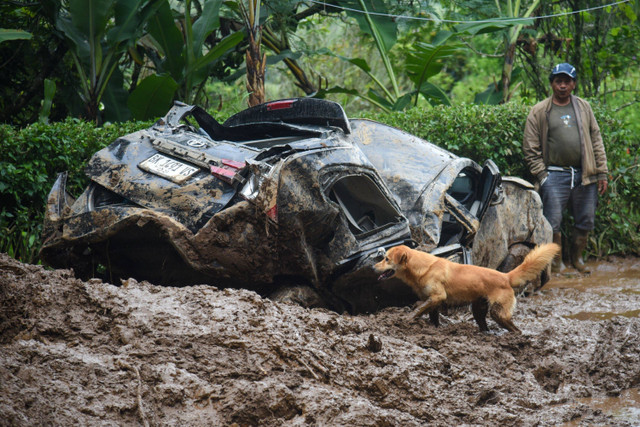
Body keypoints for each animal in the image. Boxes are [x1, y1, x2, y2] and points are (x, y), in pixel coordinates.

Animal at [376, 244, 560, 334]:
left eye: (386, 259)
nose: (373, 267)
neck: (422, 267)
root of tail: (505, 276)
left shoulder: (438, 296)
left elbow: (417, 310)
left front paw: (405, 320)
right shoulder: (433, 301)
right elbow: (431, 315)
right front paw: (433, 329)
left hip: (498, 312)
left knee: (515, 329)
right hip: (479, 309)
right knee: (484, 323)